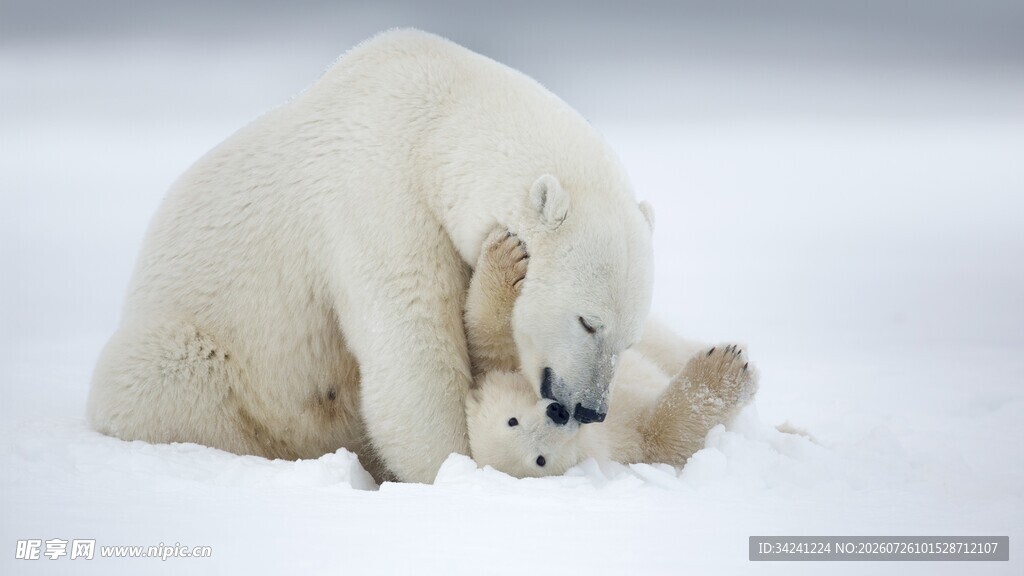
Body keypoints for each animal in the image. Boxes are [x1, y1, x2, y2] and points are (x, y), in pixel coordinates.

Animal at [87, 29, 657, 483]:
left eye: (628, 339)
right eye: (588, 322)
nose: (589, 409)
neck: (438, 121)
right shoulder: (379, 198)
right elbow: (412, 349)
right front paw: (456, 468)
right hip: (199, 351)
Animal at [463, 230, 758, 478]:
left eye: (511, 420)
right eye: (540, 459)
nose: (558, 413)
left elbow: (492, 339)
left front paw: (508, 254)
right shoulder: (623, 442)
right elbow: (664, 436)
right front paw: (724, 370)